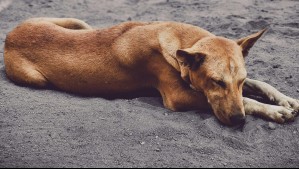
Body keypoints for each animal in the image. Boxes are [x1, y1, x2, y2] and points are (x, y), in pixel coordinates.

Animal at [2, 17, 299, 125]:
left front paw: (285, 99)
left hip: (78, 23)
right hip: (36, 79)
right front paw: (274, 111)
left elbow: (259, 84)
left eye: (240, 79)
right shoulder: (180, 97)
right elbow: (247, 100)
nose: (238, 121)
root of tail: (11, 33)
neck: (183, 42)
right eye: (216, 82)